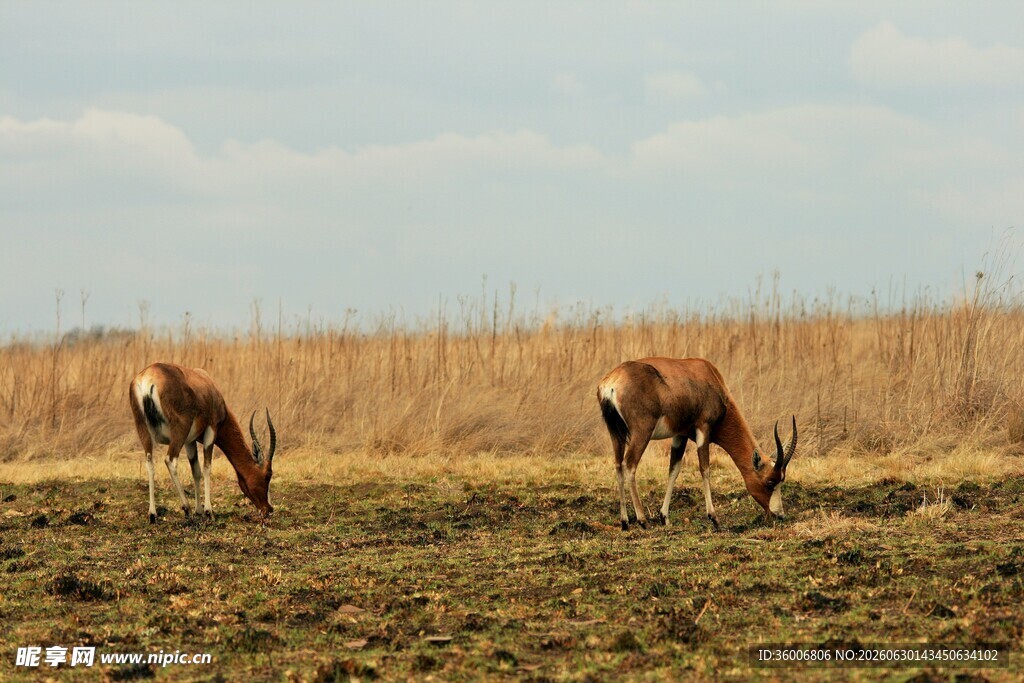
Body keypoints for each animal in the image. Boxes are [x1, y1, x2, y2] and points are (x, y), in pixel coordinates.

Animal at [129, 362, 277, 522]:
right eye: (267, 475)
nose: (268, 509)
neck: (208, 385)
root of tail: (149, 377)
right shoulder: (211, 431)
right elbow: (207, 468)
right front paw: (208, 511)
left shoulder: (190, 441)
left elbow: (196, 471)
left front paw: (199, 510)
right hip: (180, 431)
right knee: (170, 460)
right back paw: (186, 509)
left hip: (143, 429)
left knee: (150, 463)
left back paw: (152, 514)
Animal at [597, 357, 796, 531]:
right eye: (769, 482)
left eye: (781, 480)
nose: (779, 516)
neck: (707, 375)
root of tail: (612, 382)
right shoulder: (703, 429)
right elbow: (705, 468)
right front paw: (714, 519)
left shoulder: (680, 435)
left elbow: (674, 470)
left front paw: (665, 518)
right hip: (641, 433)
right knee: (629, 465)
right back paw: (643, 521)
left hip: (616, 434)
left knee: (618, 466)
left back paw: (624, 522)